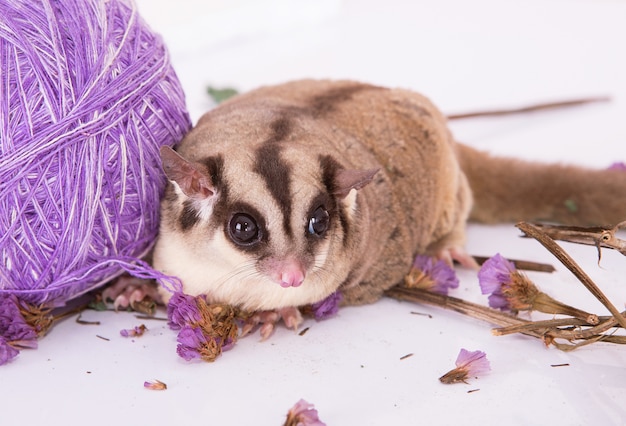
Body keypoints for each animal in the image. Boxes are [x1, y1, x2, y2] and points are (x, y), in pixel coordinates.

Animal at [151, 79, 624, 312]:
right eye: (243, 228)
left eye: (319, 222)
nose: (293, 277)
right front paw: (135, 292)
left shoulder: (371, 271)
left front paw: (276, 315)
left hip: (449, 185)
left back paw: (447, 246)